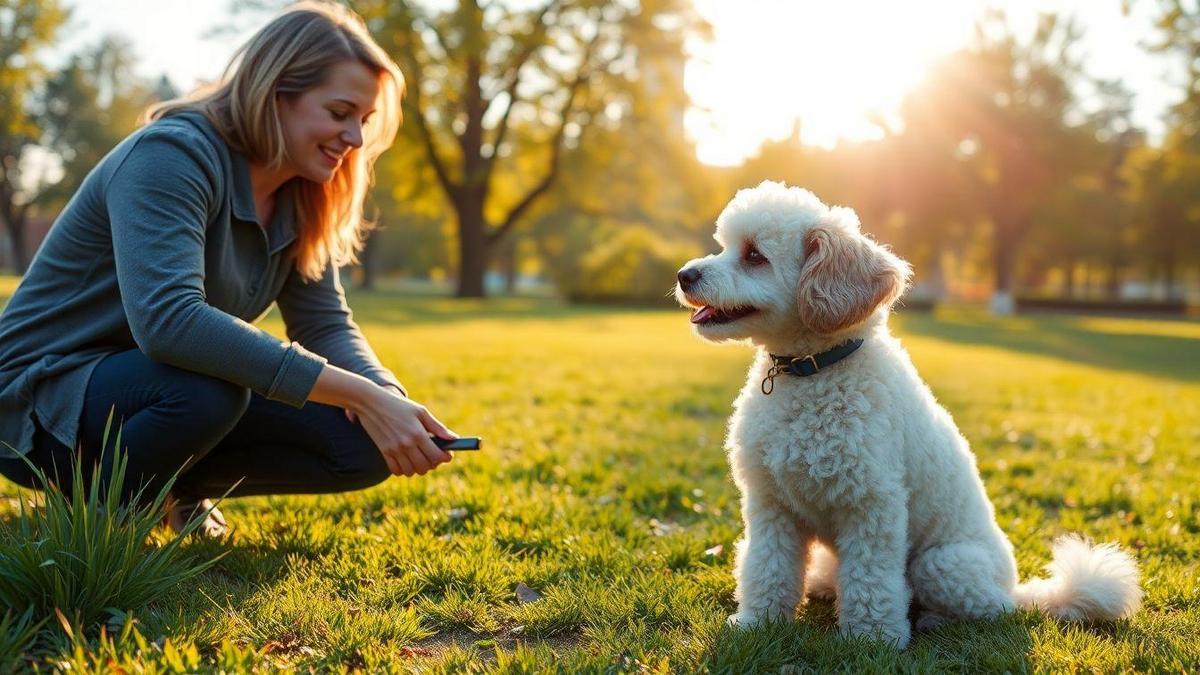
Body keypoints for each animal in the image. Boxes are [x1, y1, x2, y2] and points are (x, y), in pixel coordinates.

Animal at [676, 180, 1142, 648]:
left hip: (942, 564)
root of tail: (1018, 589)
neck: (810, 370)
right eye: (725, 246)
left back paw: (937, 620)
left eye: (755, 255)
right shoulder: (771, 505)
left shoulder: (871, 504)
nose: (684, 275)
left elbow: (870, 580)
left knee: (991, 609)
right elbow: (766, 567)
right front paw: (759, 622)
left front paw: (872, 640)